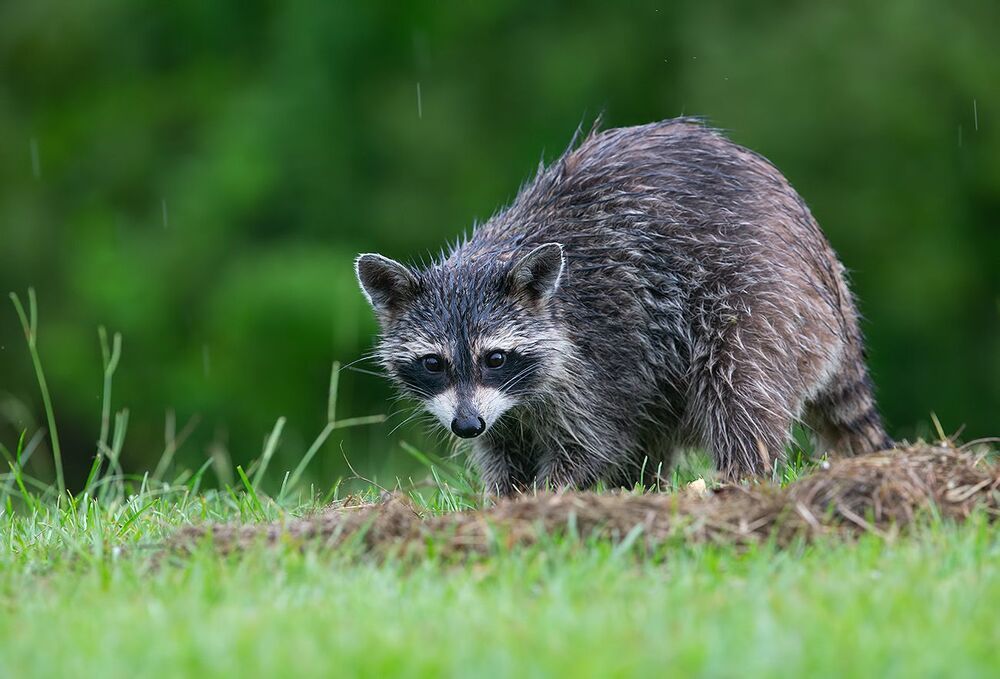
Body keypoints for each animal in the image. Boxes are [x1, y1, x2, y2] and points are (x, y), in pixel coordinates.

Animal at [356, 118, 891, 494]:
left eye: (496, 357)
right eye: (433, 363)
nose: (466, 425)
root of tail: (825, 265)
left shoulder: (599, 354)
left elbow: (596, 442)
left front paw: (548, 497)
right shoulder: (501, 411)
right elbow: (501, 452)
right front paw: (506, 500)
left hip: (760, 296)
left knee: (740, 385)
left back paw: (740, 479)